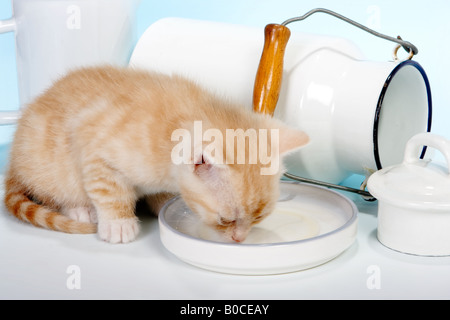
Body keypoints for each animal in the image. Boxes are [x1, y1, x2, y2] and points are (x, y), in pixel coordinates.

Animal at [2, 66, 310, 244]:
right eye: (226, 220)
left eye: (259, 219)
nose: (239, 239)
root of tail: (14, 160)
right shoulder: (90, 139)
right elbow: (109, 189)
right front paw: (119, 222)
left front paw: (162, 202)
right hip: (47, 163)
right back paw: (79, 208)